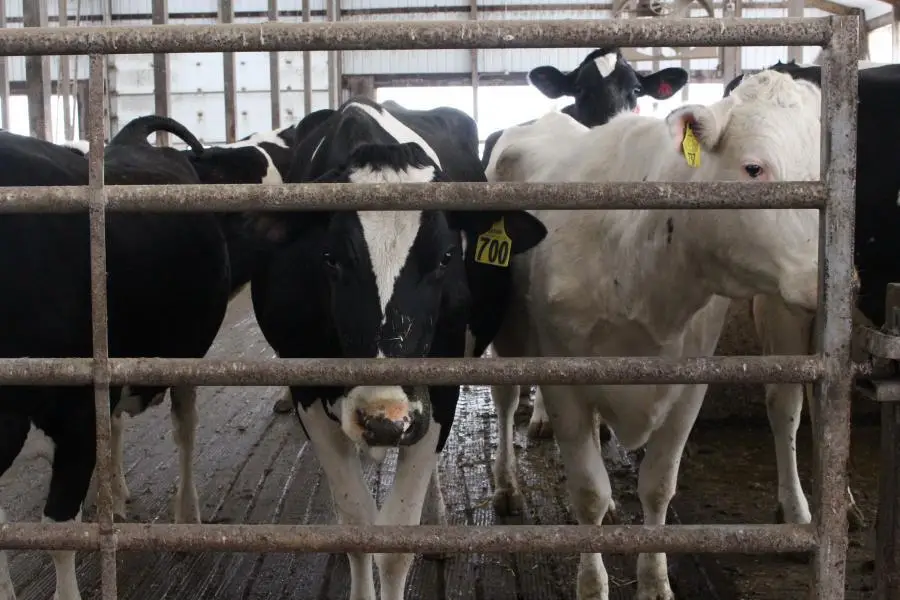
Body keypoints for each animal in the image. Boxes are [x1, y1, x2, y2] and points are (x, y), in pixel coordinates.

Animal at [0, 116, 233, 600]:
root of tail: (130, 138)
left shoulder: (77, 421)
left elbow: (59, 532)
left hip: (185, 360)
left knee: (185, 432)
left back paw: (186, 516)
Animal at [246, 96, 547, 600]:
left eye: (447, 257)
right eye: (329, 257)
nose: (383, 417)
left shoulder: (437, 390)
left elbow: (396, 540)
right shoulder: (307, 388)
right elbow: (357, 524)